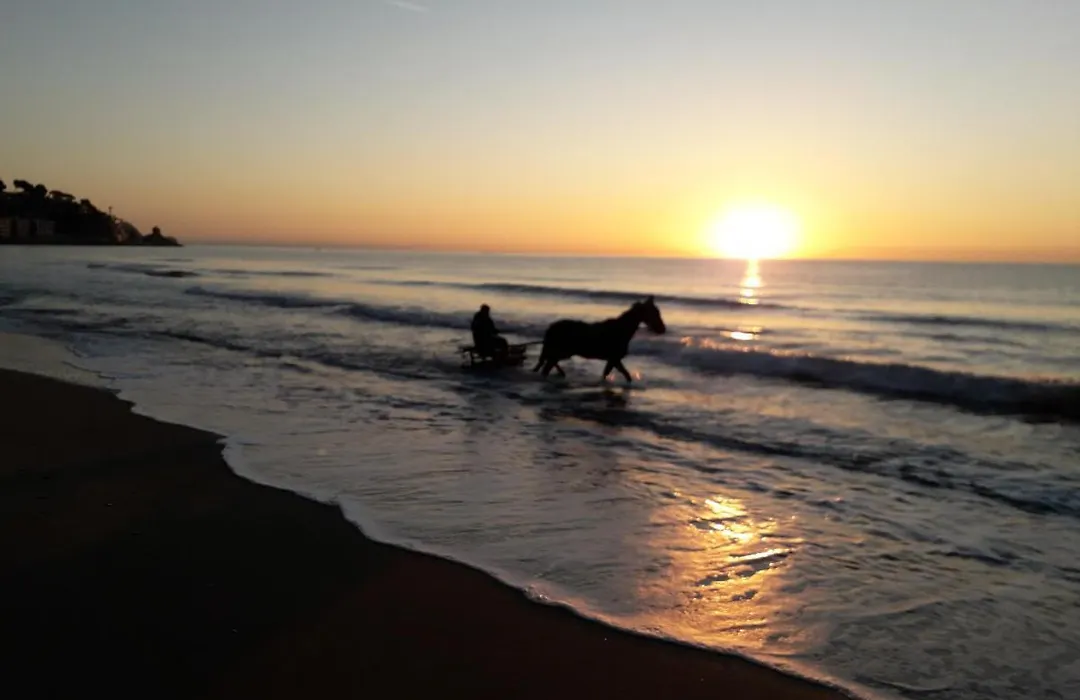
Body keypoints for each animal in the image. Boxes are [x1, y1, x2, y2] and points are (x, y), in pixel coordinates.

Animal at [532, 296, 666, 382]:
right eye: (654, 313)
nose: (662, 329)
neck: (621, 329)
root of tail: (552, 327)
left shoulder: (613, 360)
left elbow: (612, 374)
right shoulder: (614, 359)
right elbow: (624, 375)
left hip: (561, 352)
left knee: (550, 362)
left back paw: (560, 374)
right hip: (562, 352)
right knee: (548, 364)